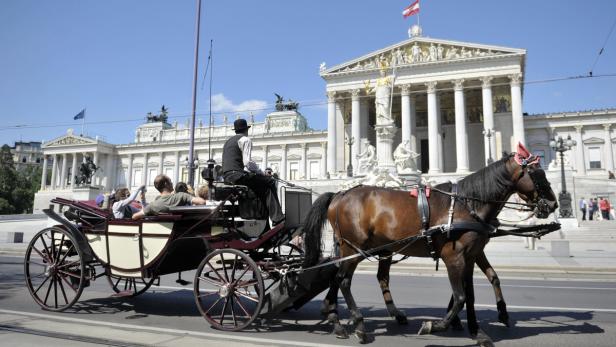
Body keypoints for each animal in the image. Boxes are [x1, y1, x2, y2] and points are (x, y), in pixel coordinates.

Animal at [304, 145, 560, 346]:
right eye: (536, 173)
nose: (553, 204)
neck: (467, 205)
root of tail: (339, 194)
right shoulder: (453, 257)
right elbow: (460, 297)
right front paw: (435, 325)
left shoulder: (471, 255)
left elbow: (474, 292)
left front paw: (478, 332)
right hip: (354, 248)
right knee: (344, 281)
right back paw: (357, 325)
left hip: (363, 249)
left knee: (347, 278)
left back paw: (338, 321)